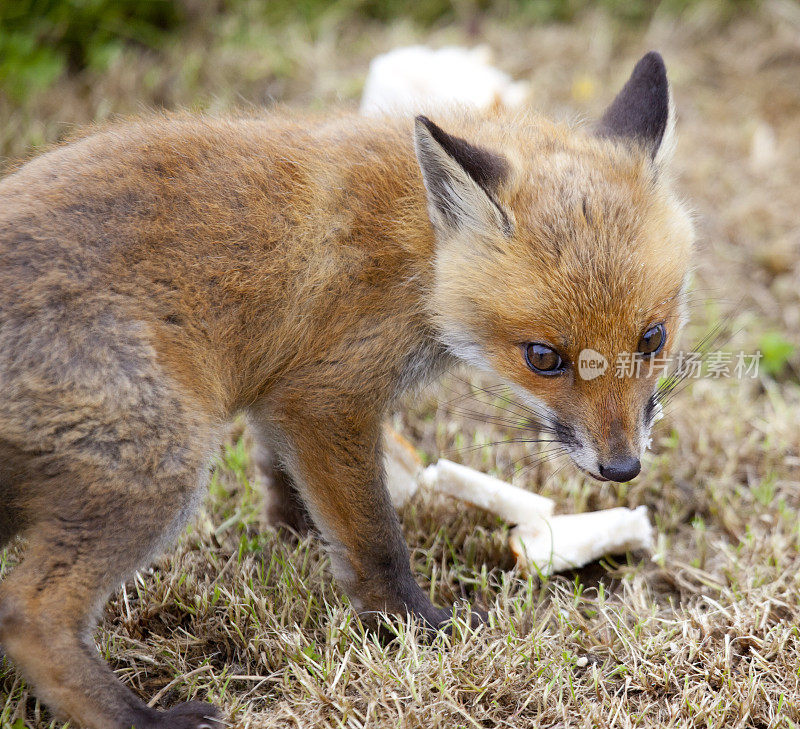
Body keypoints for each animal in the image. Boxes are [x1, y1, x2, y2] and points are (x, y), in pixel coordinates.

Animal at [0, 52, 692, 728]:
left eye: (653, 337)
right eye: (543, 357)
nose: (622, 467)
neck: (418, 250)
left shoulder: (280, 393)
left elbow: (282, 475)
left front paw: (294, 536)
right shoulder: (327, 396)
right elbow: (376, 543)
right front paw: (418, 627)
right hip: (162, 465)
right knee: (27, 613)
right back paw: (141, 719)